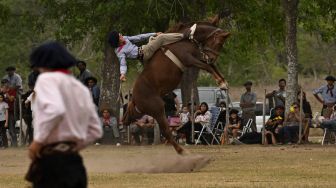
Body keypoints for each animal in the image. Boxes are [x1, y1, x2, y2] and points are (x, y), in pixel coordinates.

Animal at [123, 16, 231, 154]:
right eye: (219, 43)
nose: (211, 57)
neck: (185, 40)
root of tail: (135, 96)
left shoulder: (199, 56)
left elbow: (211, 66)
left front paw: (223, 82)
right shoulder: (189, 59)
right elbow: (207, 66)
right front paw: (221, 82)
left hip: (143, 110)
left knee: (132, 115)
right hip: (157, 109)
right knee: (166, 131)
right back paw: (182, 151)